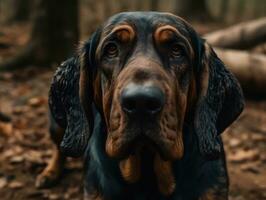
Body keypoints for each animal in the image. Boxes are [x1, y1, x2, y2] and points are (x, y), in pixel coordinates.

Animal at [36, 11, 244, 199]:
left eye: (177, 50)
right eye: (111, 49)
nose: (141, 102)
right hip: (58, 125)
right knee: (59, 148)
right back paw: (49, 173)